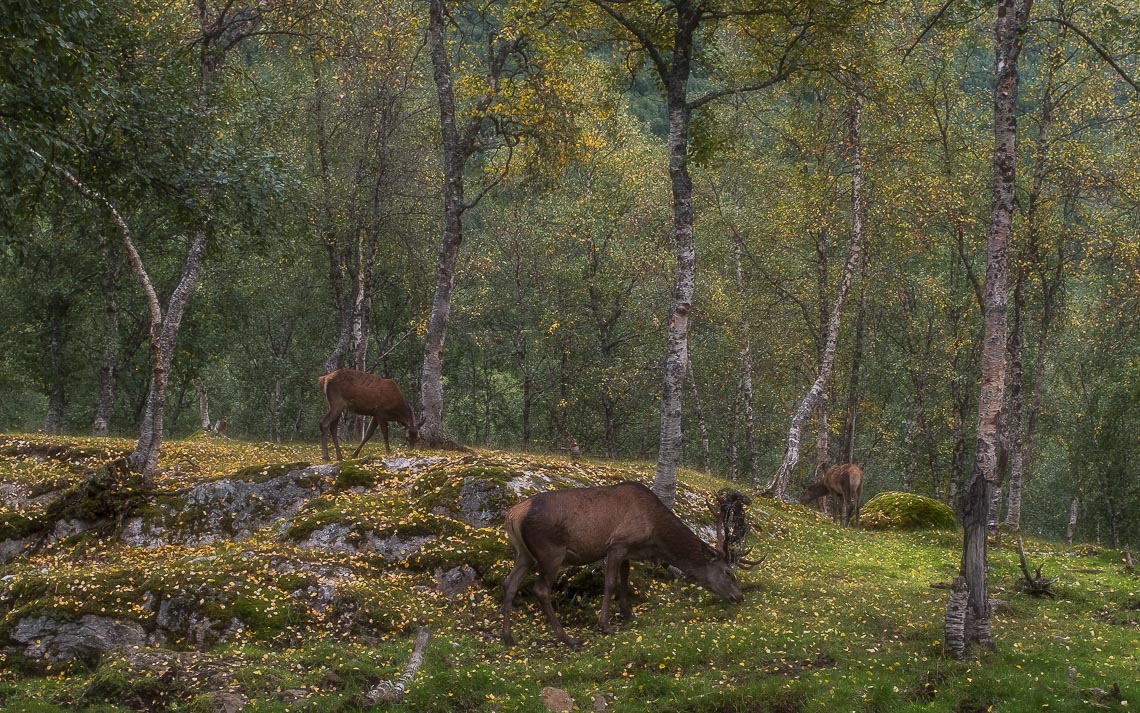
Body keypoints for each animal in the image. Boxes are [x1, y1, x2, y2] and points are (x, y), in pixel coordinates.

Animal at [503, 481, 743, 647]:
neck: (654, 534)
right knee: (540, 589)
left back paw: (508, 637)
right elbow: (610, 583)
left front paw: (628, 613)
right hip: (551, 552)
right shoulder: (617, 544)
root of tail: (513, 514)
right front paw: (605, 625)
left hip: (523, 555)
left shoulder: (628, 550)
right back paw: (568, 639)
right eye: (728, 572)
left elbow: (625, 579)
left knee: (510, 584)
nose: (739, 596)